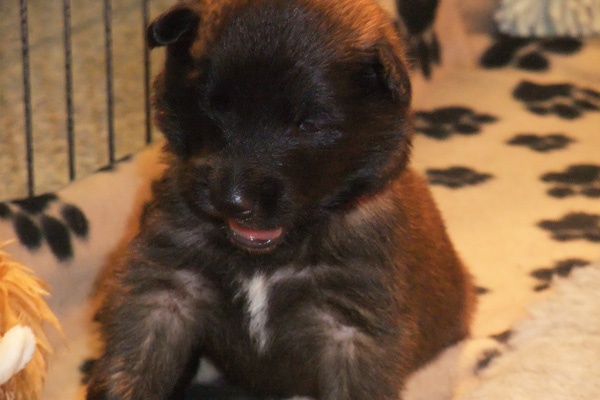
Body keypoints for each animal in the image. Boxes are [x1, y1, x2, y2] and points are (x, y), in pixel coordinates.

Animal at [86, 0, 475, 399]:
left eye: (309, 124)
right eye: (212, 107)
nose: (232, 200)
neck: (265, 261)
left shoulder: (352, 328)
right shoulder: (164, 287)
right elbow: (133, 363)